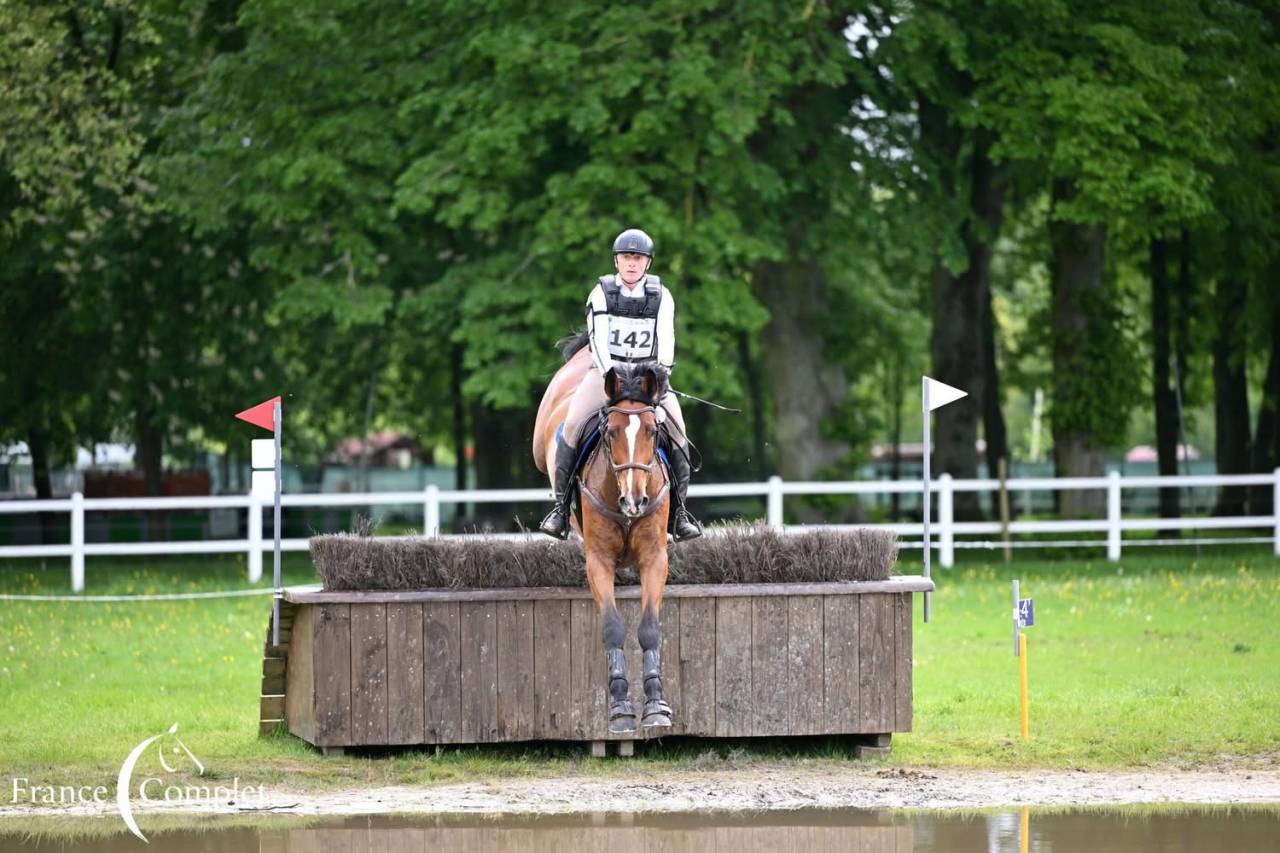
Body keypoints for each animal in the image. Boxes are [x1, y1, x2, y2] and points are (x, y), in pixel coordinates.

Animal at [533, 338, 674, 733]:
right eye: (610, 432)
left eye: (653, 431)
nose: (634, 500)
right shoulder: (598, 561)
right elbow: (612, 628)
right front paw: (621, 707)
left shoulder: (654, 558)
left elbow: (649, 628)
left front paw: (655, 705)